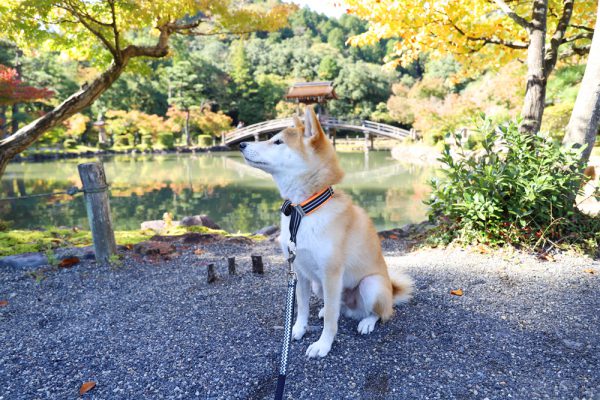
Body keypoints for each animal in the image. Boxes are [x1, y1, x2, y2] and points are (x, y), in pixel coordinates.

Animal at [239, 107, 412, 360]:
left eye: (277, 142)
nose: (241, 144)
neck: (303, 211)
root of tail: (391, 291)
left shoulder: (331, 273)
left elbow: (331, 320)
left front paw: (323, 344)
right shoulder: (300, 271)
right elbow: (301, 307)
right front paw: (297, 329)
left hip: (370, 285)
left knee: (377, 313)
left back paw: (367, 322)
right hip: (318, 286)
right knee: (338, 306)